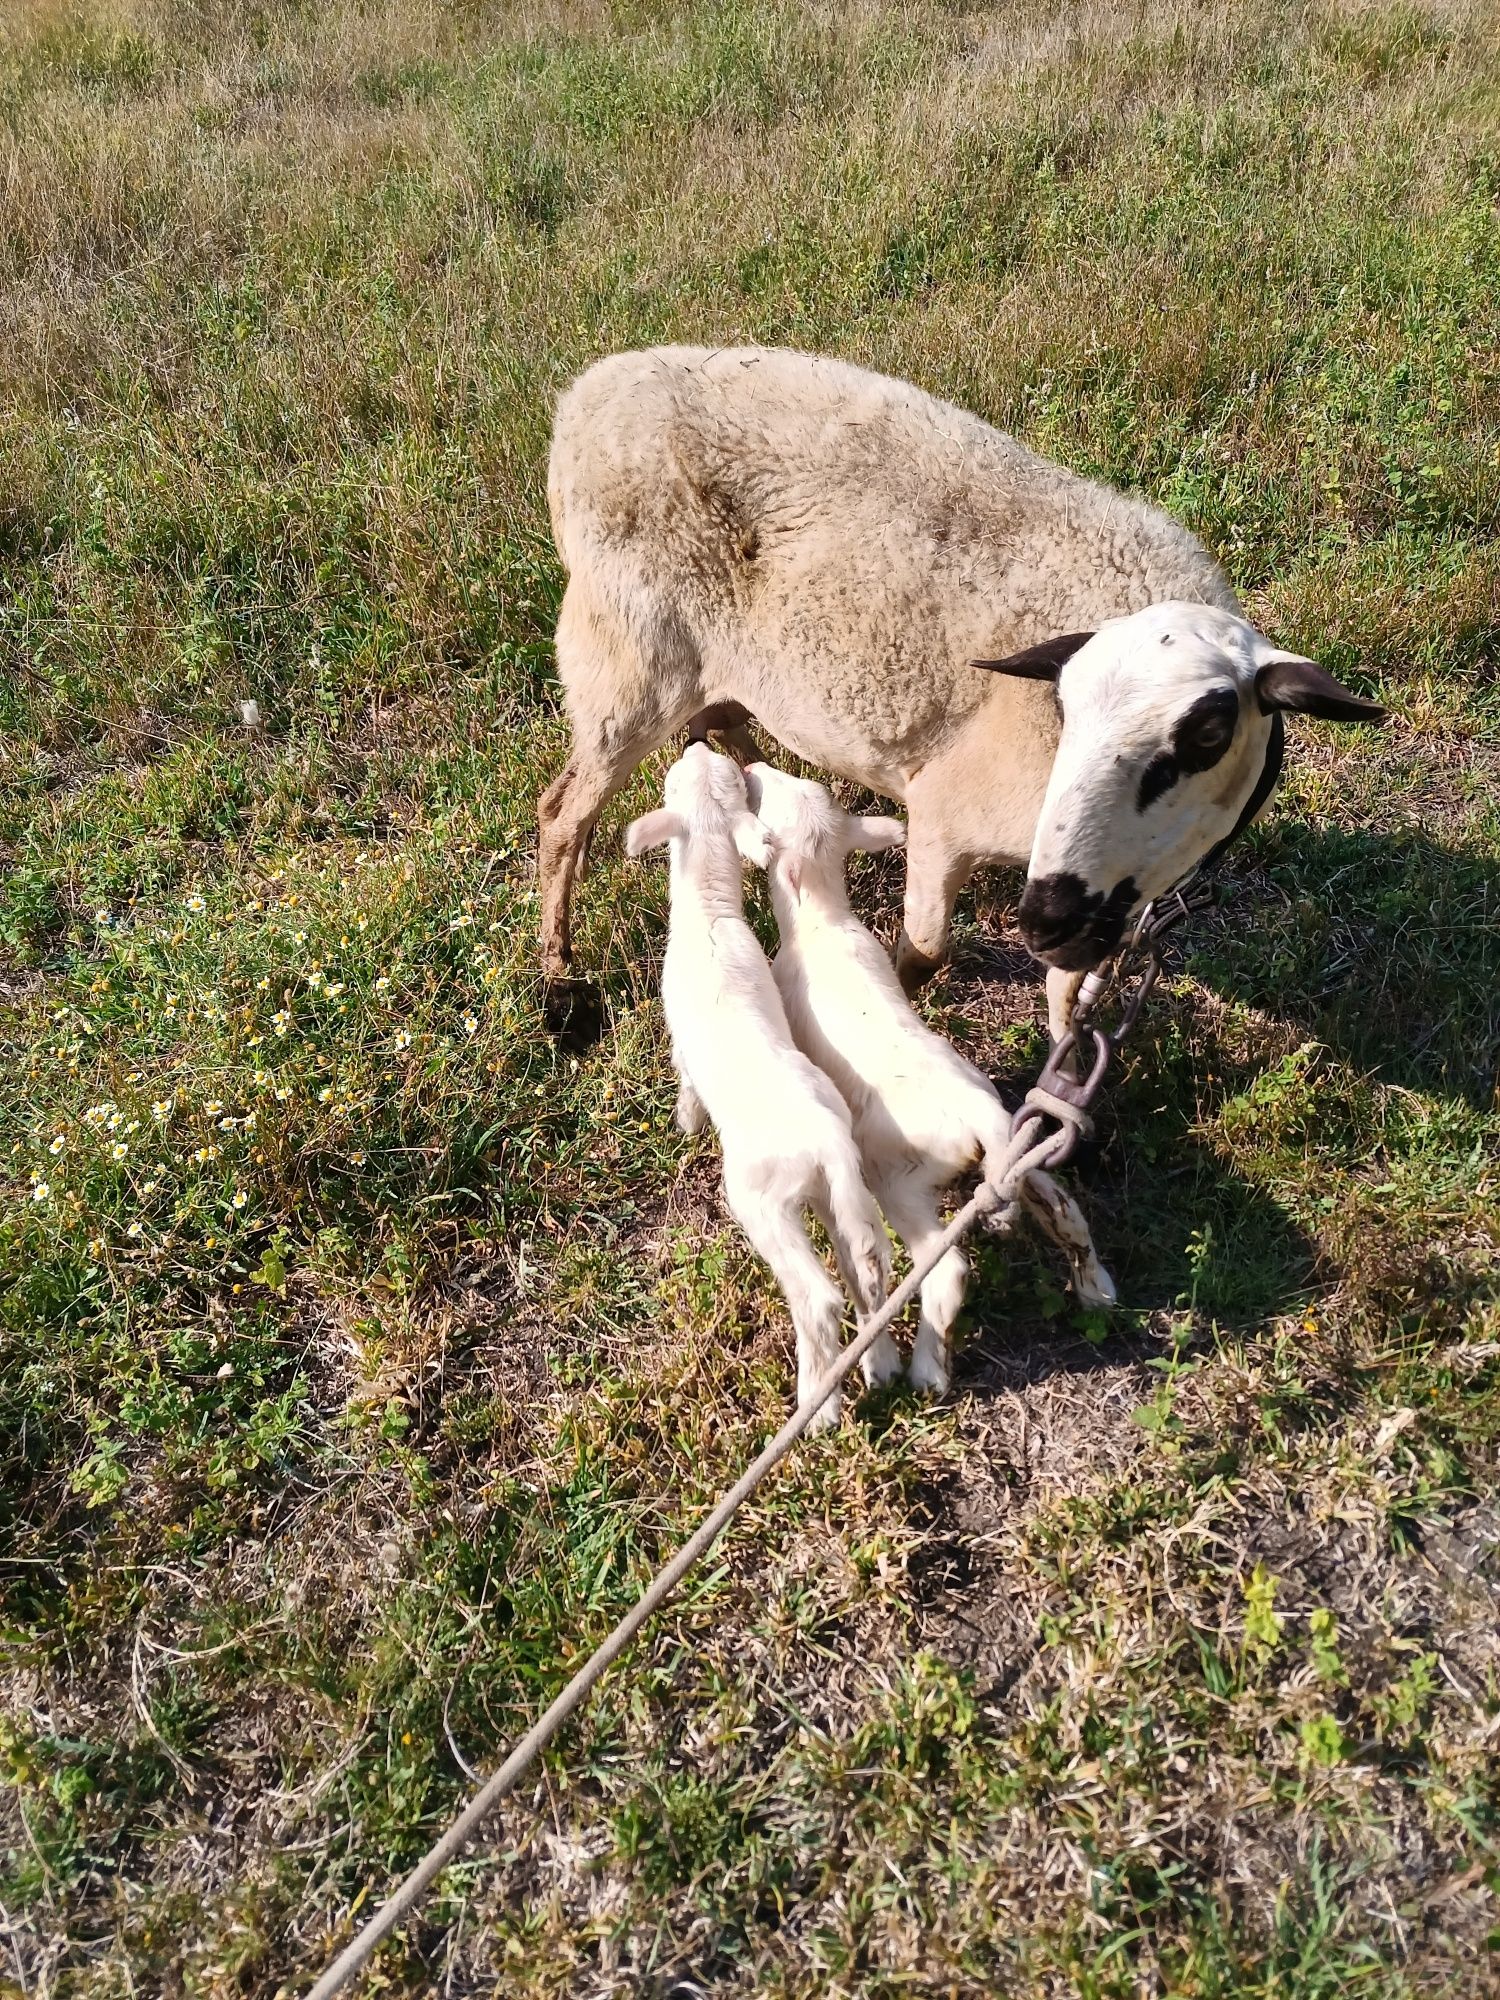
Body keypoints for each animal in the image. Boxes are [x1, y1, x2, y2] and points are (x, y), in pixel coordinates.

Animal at [540, 346, 1384, 1040]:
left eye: (1209, 733)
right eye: (1063, 707)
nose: (1043, 919)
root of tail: (585, 396)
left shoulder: (1105, 900)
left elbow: (1070, 992)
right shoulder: (945, 814)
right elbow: (925, 951)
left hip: (712, 659)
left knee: (719, 718)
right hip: (626, 654)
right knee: (563, 814)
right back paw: (560, 984)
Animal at [624, 744, 904, 1432]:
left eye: (678, 778)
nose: (697, 744)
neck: (711, 914)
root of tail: (829, 1141)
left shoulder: (680, 1040)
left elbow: (687, 1086)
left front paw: (685, 1124)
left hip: (764, 1202)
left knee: (819, 1296)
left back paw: (818, 1407)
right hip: (838, 1194)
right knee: (867, 1272)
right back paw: (879, 1365)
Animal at [748, 756, 1120, 1400]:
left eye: (768, 800)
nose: (748, 765)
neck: (822, 921)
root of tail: (981, 1117)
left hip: (901, 1179)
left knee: (947, 1270)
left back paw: (926, 1370)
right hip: (1012, 1148)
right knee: (1063, 1209)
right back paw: (1097, 1288)